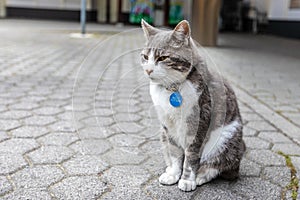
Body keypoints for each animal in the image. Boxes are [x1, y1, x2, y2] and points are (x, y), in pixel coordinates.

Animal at [141, 19, 246, 192]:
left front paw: (187, 180)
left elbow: (191, 156)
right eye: (144, 56)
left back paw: (201, 176)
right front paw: (173, 174)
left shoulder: (199, 122)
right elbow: (175, 152)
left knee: (218, 165)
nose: (148, 70)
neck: (172, 88)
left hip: (226, 139)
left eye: (162, 57)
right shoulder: (168, 126)